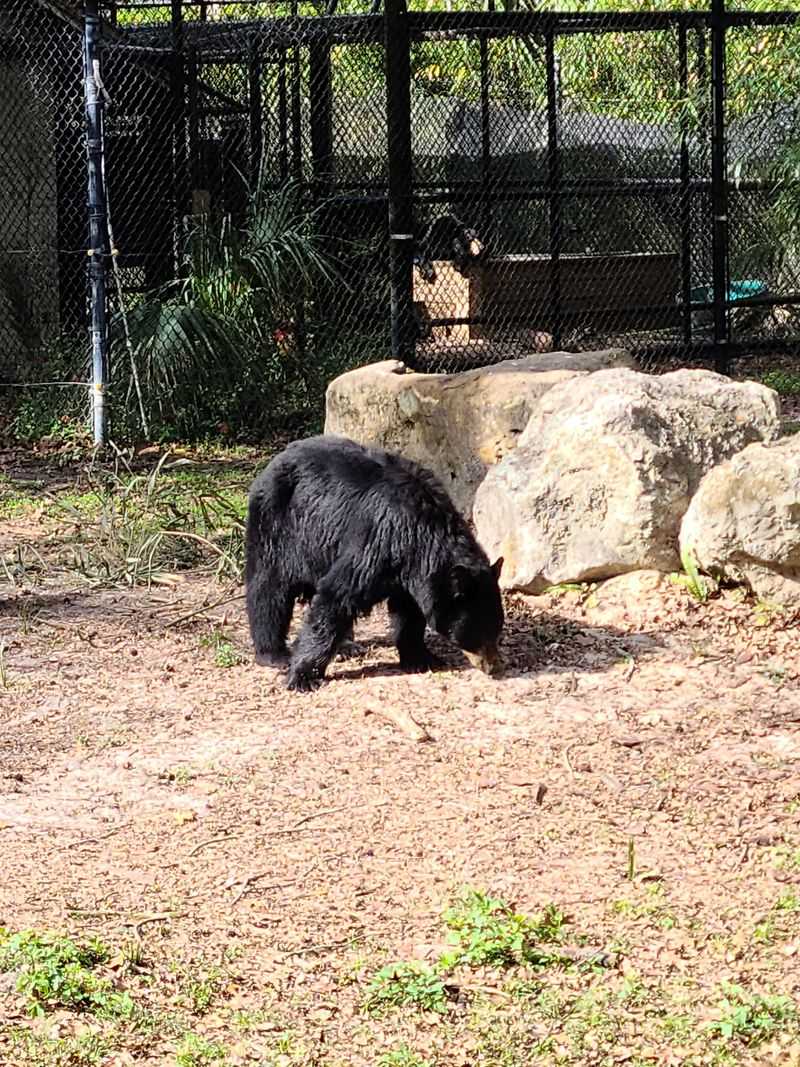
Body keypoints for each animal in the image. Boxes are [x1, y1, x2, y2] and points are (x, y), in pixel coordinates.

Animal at [245, 435, 504, 691]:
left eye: (497, 629)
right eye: (477, 634)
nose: (493, 667)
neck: (424, 534)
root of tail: (278, 456)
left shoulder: (411, 571)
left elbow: (408, 612)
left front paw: (421, 658)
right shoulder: (379, 541)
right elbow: (336, 597)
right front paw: (302, 676)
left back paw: (347, 646)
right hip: (276, 521)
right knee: (268, 586)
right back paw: (274, 653)